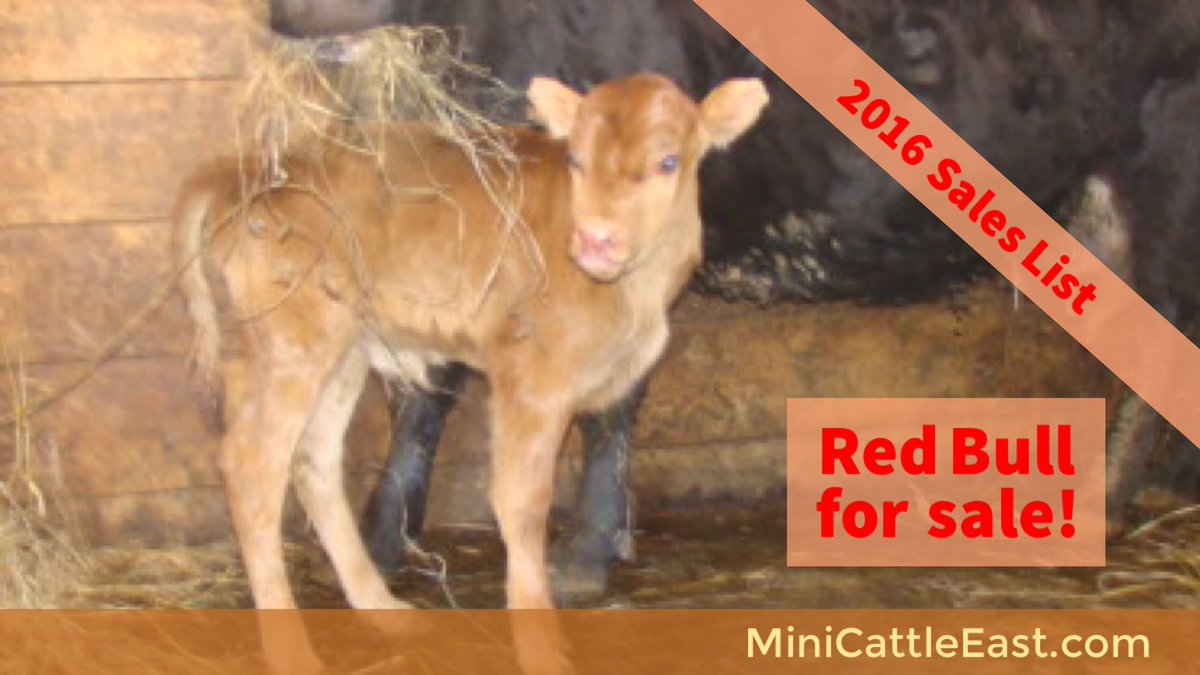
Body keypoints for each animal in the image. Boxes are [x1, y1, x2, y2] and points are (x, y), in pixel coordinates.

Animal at [173, 72, 769, 610]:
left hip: (341, 349)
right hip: (291, 342)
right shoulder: (531, 377)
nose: (596, 240)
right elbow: (520, 502)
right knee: (251, 463)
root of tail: (244, 172)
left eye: (668, 161)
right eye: (576, 160)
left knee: (312, 460)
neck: (635, 294)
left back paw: (379, 603)